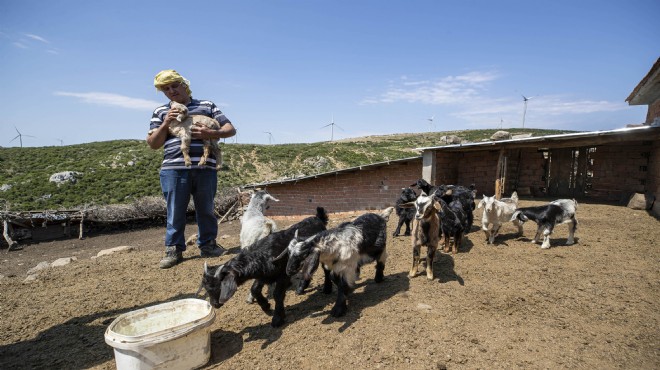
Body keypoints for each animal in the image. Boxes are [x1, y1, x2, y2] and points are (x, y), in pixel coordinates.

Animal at [199, 208, 328, 326]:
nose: (214, 304)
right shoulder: (263, 275)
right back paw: (300, 289)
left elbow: (277, 294)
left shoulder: (283, 275)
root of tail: (318, 218)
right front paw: (265, 306)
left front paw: (277, 318)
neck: (265, 255)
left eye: (218, 285)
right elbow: (254, 289)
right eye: (206, 287)